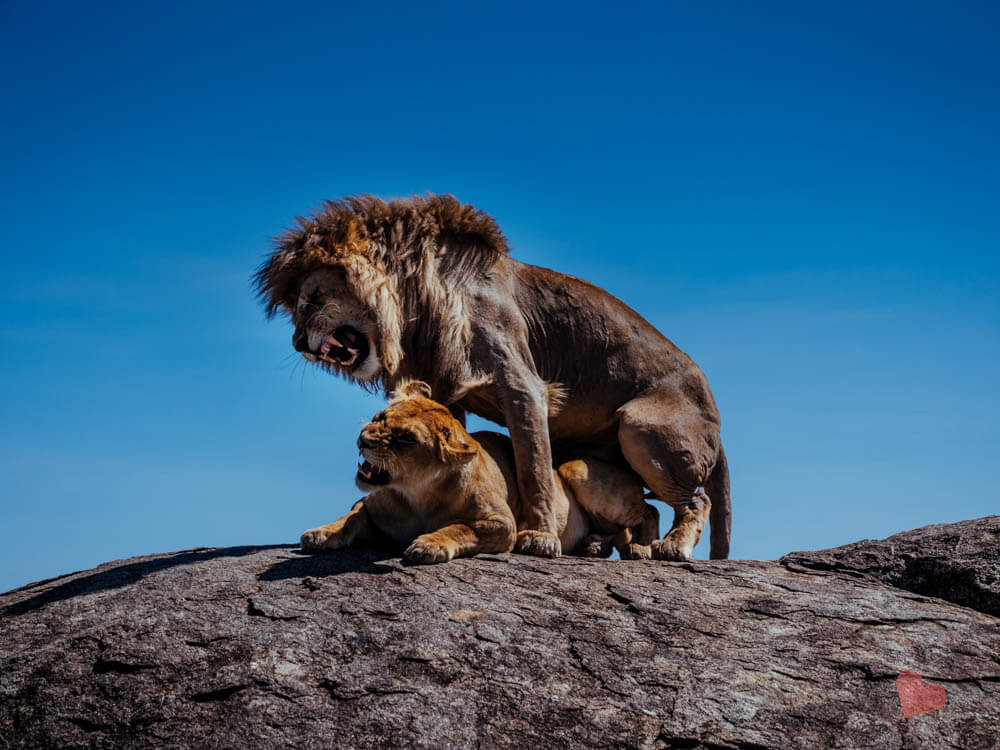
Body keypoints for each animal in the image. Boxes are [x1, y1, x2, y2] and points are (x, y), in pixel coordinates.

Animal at [300, 382, 660, 564]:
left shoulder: (503, 525)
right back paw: (593, 546)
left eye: (406, 439)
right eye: (380, 417)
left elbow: (458, 527)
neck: (416, 494)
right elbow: (350, 517)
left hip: (575, 469)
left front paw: (428, 544)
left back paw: (644, 549)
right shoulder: (369, 505)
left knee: (649, 510)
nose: (363, 439)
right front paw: (321, 533)